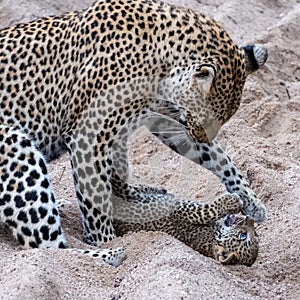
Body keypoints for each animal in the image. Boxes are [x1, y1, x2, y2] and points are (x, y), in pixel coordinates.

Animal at [0, 0, 268, 264]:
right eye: (205, 118)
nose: (200, 135)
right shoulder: (88, 134)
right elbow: (93, 196)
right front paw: (104, 239)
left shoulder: (164, 118)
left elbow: (219, 158)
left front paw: (251, 201)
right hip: (16, 147)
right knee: (46, 247)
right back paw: (110, 253)